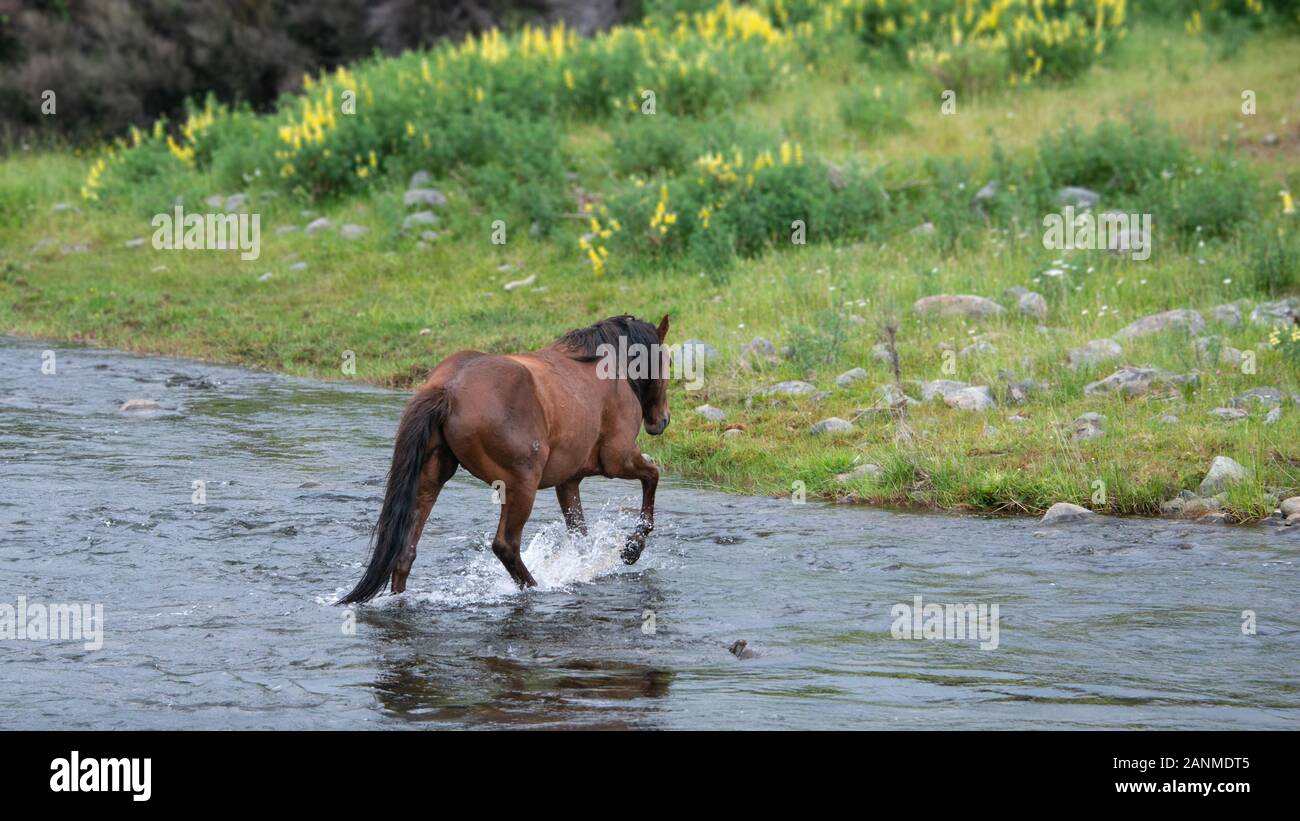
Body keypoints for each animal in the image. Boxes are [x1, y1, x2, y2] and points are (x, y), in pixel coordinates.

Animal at [338, 314, 670, 602]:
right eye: (666, 361)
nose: (662, 420)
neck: (609, 369)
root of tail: (447, 389)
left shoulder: (568, 480)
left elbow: (579, 534)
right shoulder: (618, 459)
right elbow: (652, 476)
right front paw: (632, 548)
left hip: (430, 478)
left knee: (406, 550)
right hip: (521, 483)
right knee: (506, 545)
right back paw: (536, 587)